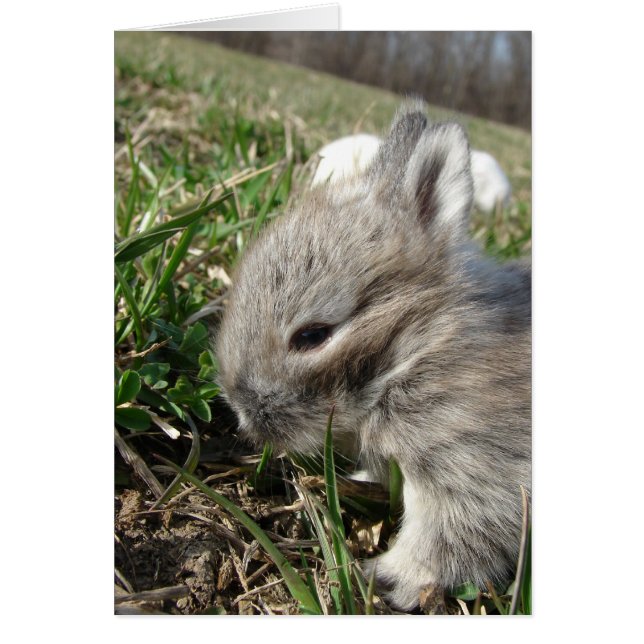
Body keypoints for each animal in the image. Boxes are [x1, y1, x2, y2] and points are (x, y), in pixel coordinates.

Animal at [215, 102, 531, 611]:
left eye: (313, 335)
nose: (244, 414)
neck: (422, 342)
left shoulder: (475, 464)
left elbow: (453, 538)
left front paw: (384, 579)